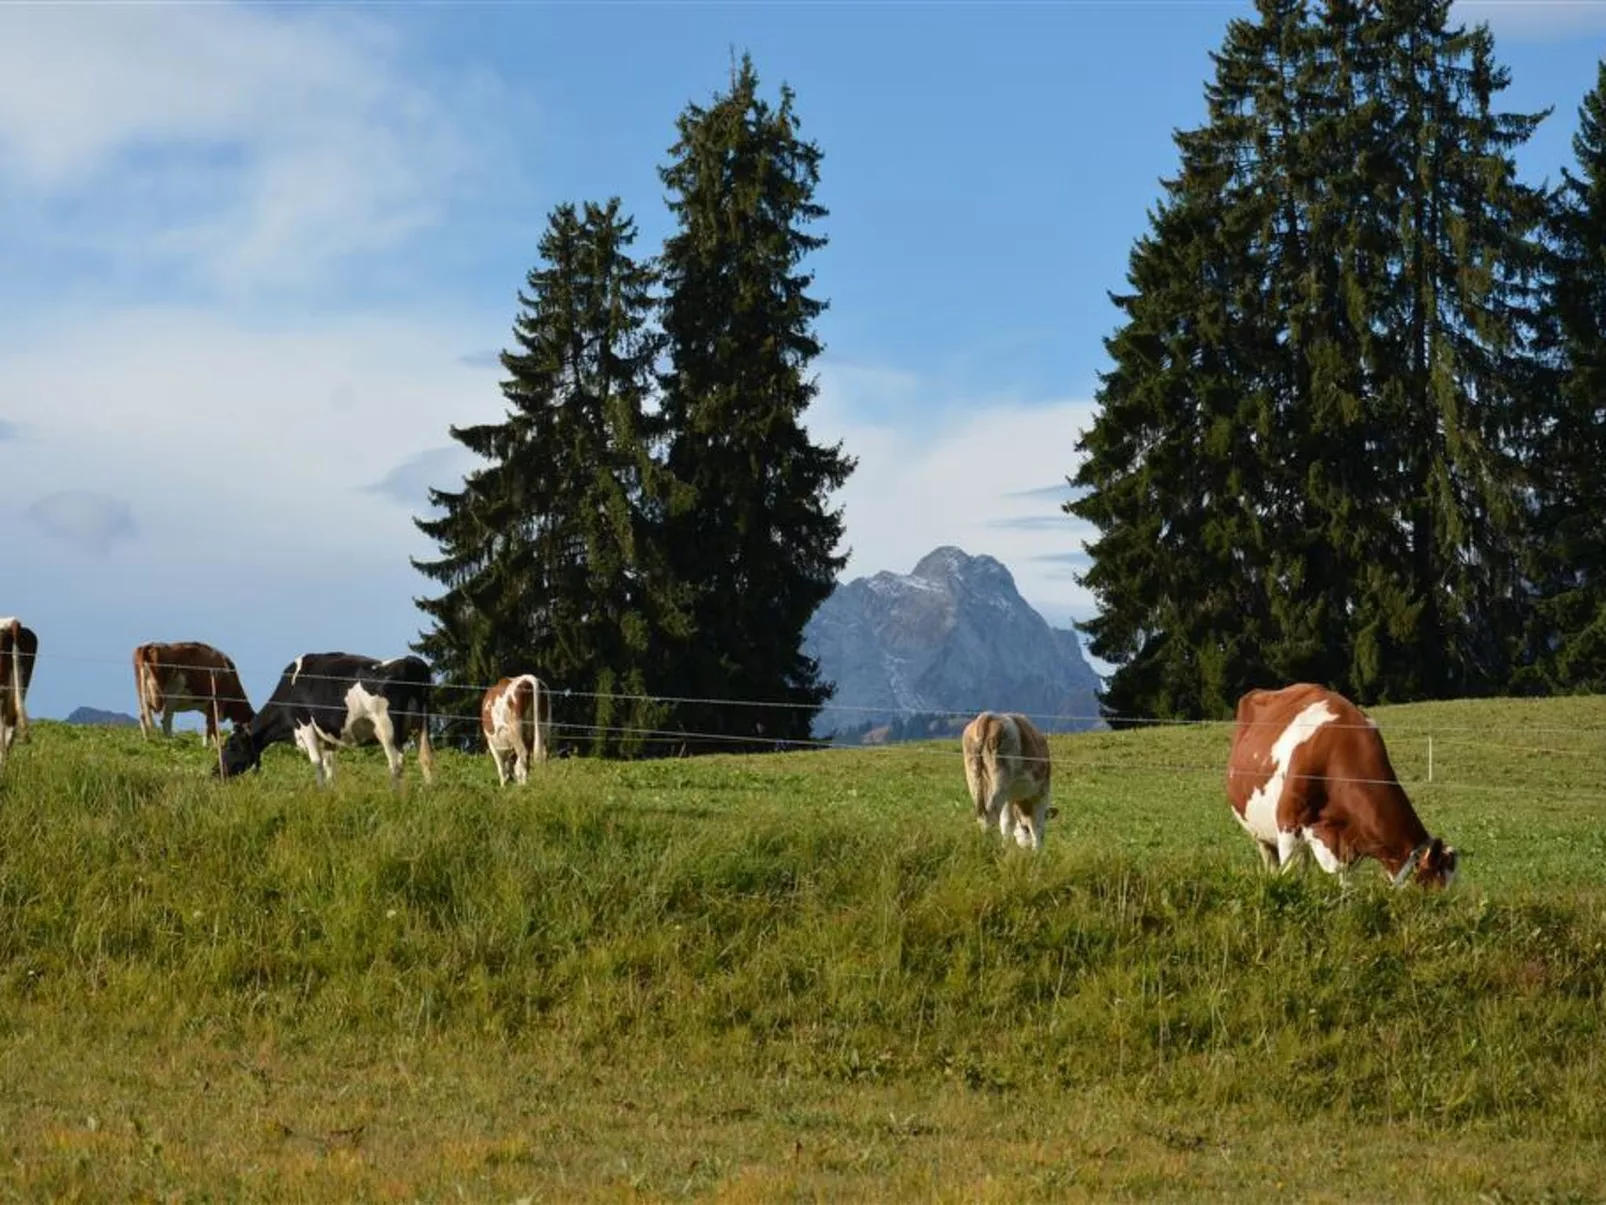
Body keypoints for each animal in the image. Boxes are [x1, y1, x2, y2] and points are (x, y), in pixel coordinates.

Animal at [220, 655, 436, 787]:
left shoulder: (304, 724)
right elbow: (329, 764)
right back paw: (429, 790)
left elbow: (316, 762)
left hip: (386, 728)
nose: (216, 772)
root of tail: (412, 661)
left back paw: (395, 794)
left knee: (396, 762)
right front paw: (331, 791)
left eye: (231, 746)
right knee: (425, 757)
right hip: (422, 725)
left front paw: (321, 791)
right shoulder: (328, 736)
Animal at [957, 713, 1059, 854]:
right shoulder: (1041, 792)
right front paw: (1037, 851)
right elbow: (1037, 825)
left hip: (974, 779)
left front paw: (1006, 847)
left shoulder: (1009, 797)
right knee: (990, 816)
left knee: (982, 816)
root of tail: (988, 716)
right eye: (1024, 828)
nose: (1026, 848)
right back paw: (986, 848)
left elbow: (1007, 822)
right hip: (999, 784)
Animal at [1226, 687, 1458, 886]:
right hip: (1260, 832)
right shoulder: (1288, 825)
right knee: (1271, 860)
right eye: (1432, 885)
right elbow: (1290, 874)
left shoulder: (1347, 842)